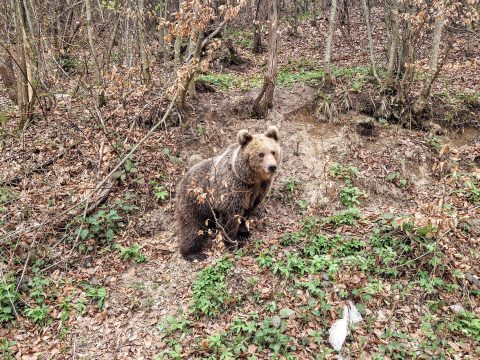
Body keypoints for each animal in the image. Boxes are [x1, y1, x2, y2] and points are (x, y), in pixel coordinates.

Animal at [176, 126, 282, 258]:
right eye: (261, 154)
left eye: (273, 151)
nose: (272, 167)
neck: (252, 178)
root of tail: (181, 181)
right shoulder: (233, 188)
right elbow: (231, 216)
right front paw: (232, 243)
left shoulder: (258, 190)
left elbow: (247, 211)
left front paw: (244, 234)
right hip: (195, 201)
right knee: (193, 227)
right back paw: (193, 253)